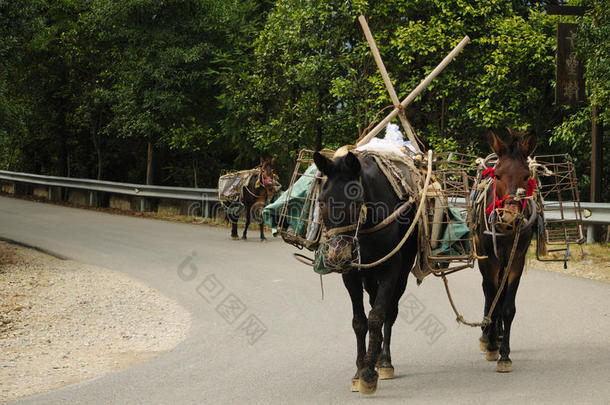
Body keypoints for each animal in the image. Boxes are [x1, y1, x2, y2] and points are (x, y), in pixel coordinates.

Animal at [312, 150, 416, 392]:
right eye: (321, 201)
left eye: (356, 202)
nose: (337, 255)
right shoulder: (351, 274)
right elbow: (359, 321)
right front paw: (360, 370)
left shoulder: (391, 269)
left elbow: (377, 316)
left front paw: (369, 373)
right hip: (368, 277)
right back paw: (375, 354)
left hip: (402, 273)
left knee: (390, 310)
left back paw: (384, 360)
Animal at [472, 129, 536, 372]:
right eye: (498, 175)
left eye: (526, 176)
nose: (509, 217)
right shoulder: (488, 260)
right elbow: (493, 298)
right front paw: (491, 346)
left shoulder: (516, 259)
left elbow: (507, 307)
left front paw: (505, 355)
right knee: (488, 292)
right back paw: (488, 336)